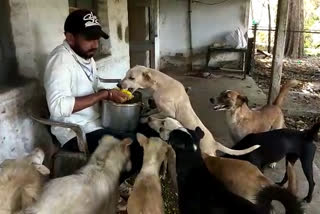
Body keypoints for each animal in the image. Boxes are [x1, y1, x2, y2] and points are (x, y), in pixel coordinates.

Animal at [120, 64, 260, 156]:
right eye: (125, 75)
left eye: (131, 78)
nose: (118, 84)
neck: (159, 85)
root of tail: (214, 143)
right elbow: (151, 112)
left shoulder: (168, 112)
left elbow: (154, 116)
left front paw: (144, 119)